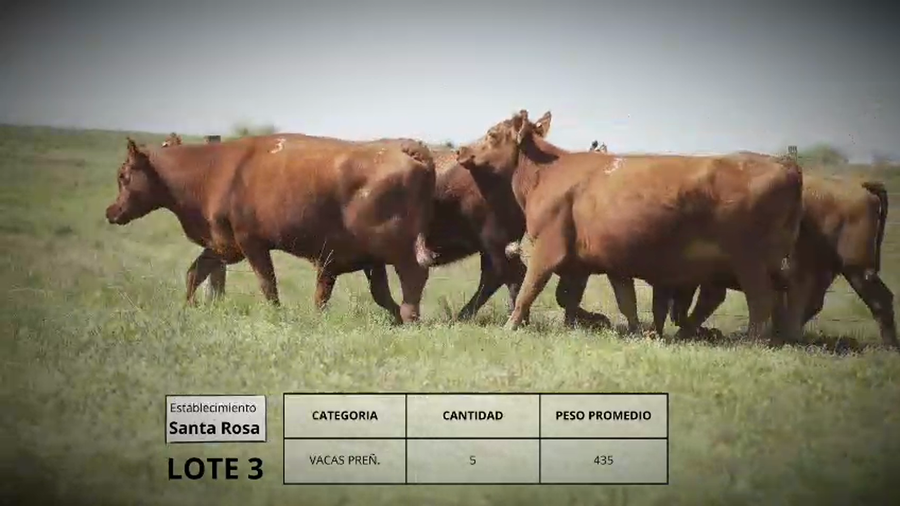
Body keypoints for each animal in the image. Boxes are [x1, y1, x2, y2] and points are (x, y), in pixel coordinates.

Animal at [105, 134, 438, 324]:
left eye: (123, 175)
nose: (111, 211)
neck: (213, 171)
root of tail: (407, 148)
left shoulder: (251, 242)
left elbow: (268, 284)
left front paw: (277, 316)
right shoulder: (225, 245)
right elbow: (195, 272)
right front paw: (187, 308)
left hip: (398, 250)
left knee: (414, 277)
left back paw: (409, 318)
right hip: (374, 255)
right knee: (385, 290)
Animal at [457, 110, 804, 344]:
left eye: (492, 134)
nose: (460, 150)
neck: (546, 173)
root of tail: (784, 163)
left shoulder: (548, 249)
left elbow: (530, 289)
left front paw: (511, 325)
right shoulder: (603, 261)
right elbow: (618, 301)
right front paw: (633, 332)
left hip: (748, 260)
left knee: (760, 298)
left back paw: (753, 340)